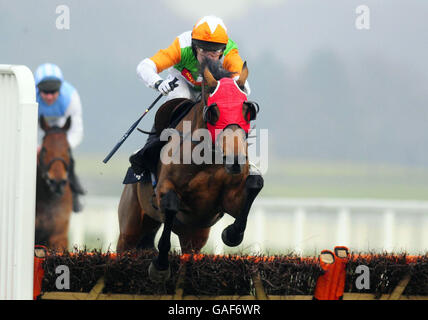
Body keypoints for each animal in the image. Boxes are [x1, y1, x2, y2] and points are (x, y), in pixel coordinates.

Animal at [118, 60, 264, 280]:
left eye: (247, 110)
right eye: (214, 111)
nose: (235, 160)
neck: (207, 159)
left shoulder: (227, 201)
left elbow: (254, 186)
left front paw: (231, 234)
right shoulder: (164, 190)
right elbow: (170, 205)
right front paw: (160, 266)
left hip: (194, 236)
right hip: (130, 226)